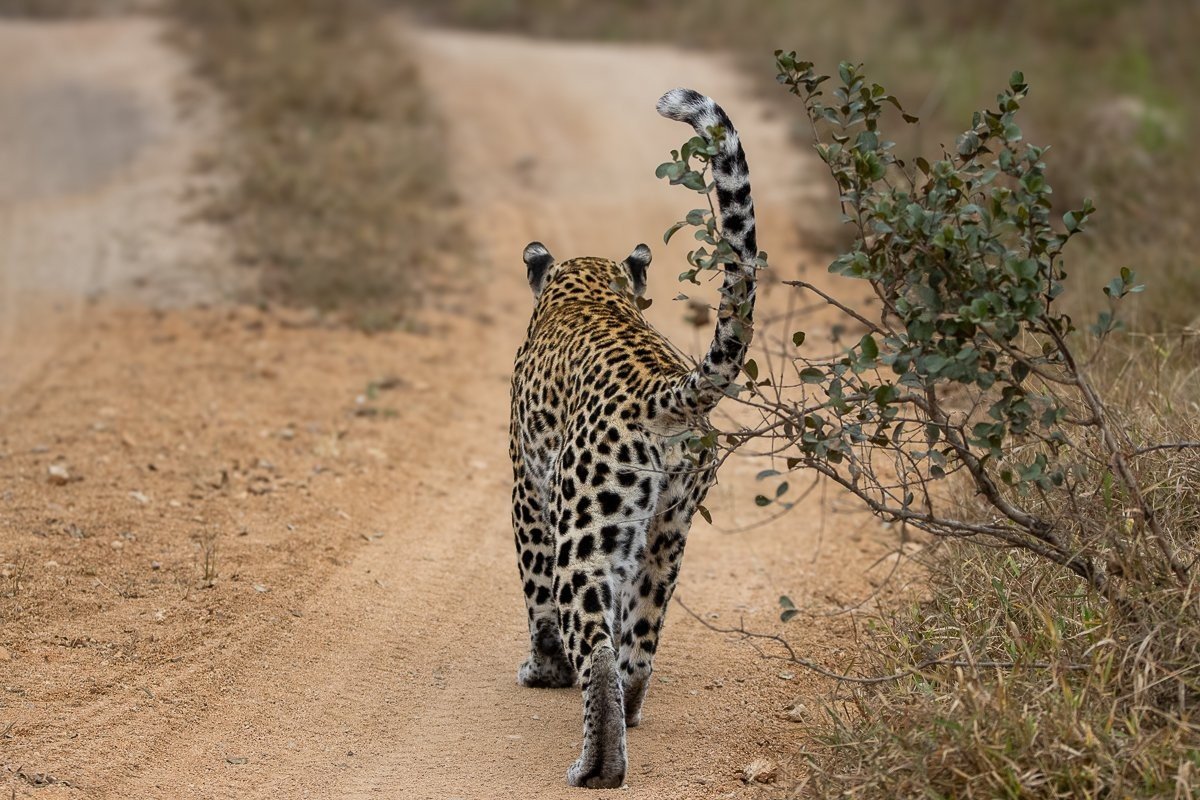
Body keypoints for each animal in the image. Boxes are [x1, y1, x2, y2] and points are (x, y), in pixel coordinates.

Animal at [508, 88, 759, 789]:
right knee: (638, 639)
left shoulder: (526, 490)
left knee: (594, 644)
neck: (591, 287)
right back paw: (632, 710)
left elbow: (536, 594)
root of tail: (666, 390)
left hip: (586, 525)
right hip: (667, 529)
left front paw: (541, 671)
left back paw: (597, 765)